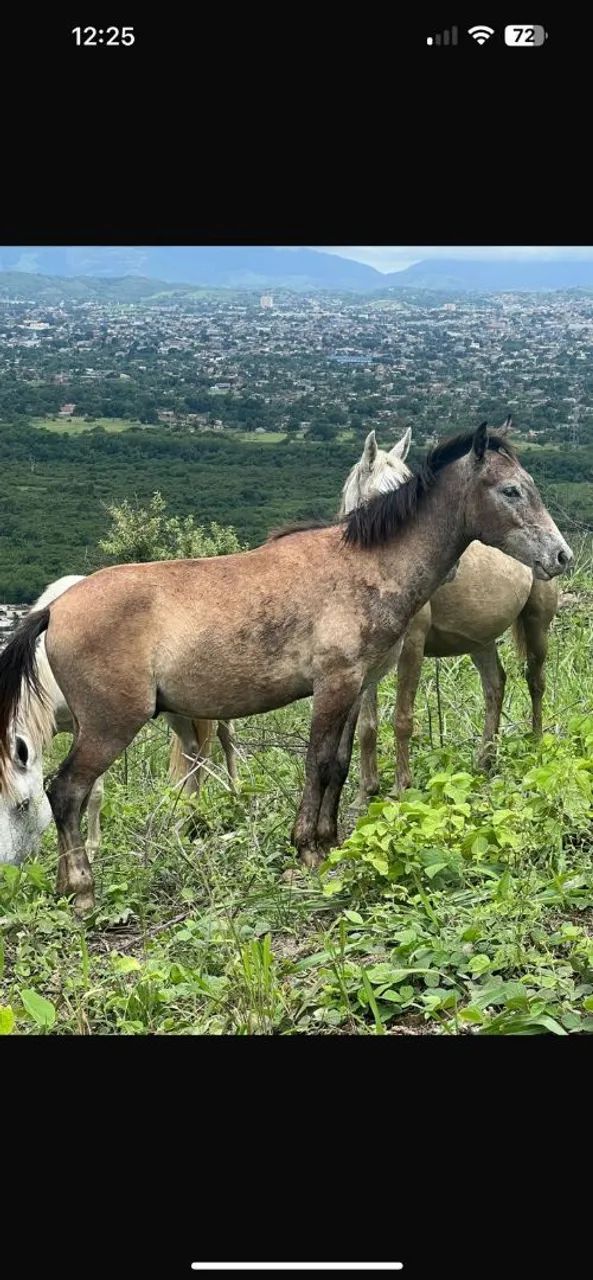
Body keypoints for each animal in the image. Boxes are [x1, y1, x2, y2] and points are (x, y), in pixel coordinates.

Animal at [0, 574, 237, 865]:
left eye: (23, 805)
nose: (13, 865)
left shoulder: (94, 727)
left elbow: (94, 794)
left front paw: (91, 849)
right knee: (194, 750)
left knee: (225, 739)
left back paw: (235, 793)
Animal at [340, 421, 561, 797]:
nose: (561, 554)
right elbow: (368, 724)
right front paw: (367, 791)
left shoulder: (412, 646)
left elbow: (402, 718)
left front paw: (401, 790)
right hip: (480, 640)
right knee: (495, 685)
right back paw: (486, 760)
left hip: (537, 626)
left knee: (535, 680)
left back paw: (535, 743)